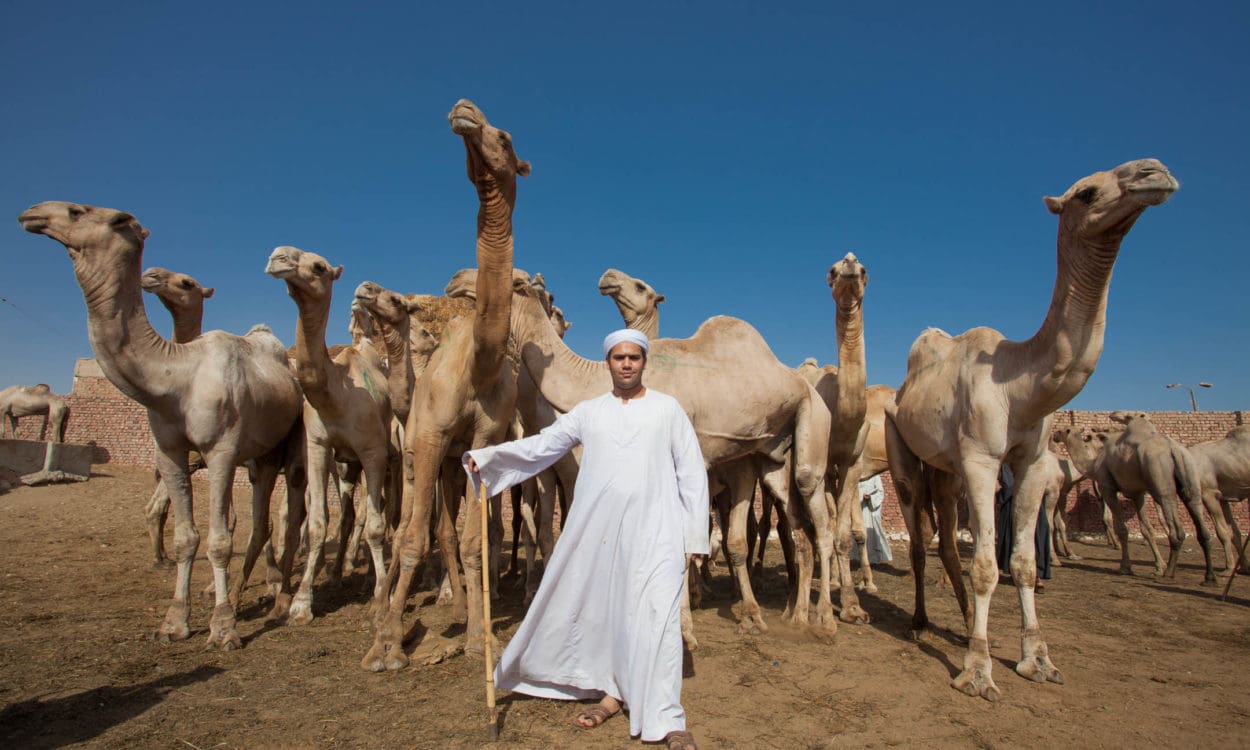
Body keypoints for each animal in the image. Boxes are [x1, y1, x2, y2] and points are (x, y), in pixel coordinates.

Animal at [19, 201, 305, 650]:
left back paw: (268, 588)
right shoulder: (170, 452)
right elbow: (187, 536)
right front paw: (175, 621)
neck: (176, 376)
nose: (34, 213)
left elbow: (220, 538)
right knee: (254, 520)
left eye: (81, 211)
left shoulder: (222, 451)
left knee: (275, 516)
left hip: (275, 451)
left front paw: (223, 627)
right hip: (254, 458)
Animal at [266, 245, 397, 620]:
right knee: (348, 515)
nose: (277, 257)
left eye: (319, 267)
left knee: (380, 512)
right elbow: (319, 523)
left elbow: (376, 524)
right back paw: (340, 572)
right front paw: (301, 601)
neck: (336, 394)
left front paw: (381, 594)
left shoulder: (373, 451)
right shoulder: (319, 445)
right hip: (345, 466)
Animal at [365, 99, 532, 675]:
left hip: (452, 465)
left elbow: (473, 540)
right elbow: (415, 538)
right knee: (406, 532)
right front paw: (389, 647)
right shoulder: (431, 434)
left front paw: (483, 643)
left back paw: (456, 610)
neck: (478, 366)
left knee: (444, 531)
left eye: (505, 138)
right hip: (417, 455)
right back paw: (382, 623)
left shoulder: (482, 442)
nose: (465, 111)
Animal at [885, 159, 1175, 705]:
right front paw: (978, 672)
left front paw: (1037, 660)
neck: (1019, 384)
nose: (1156, 172)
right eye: (1086, 193)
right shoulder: (981, 458)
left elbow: (1018, 560)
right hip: (905, 451)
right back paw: (918, 620)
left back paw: (961, 620)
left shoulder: (1034, 462)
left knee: (948, 539)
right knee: (918, 538)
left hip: (945, 470)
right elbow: (986, 563)